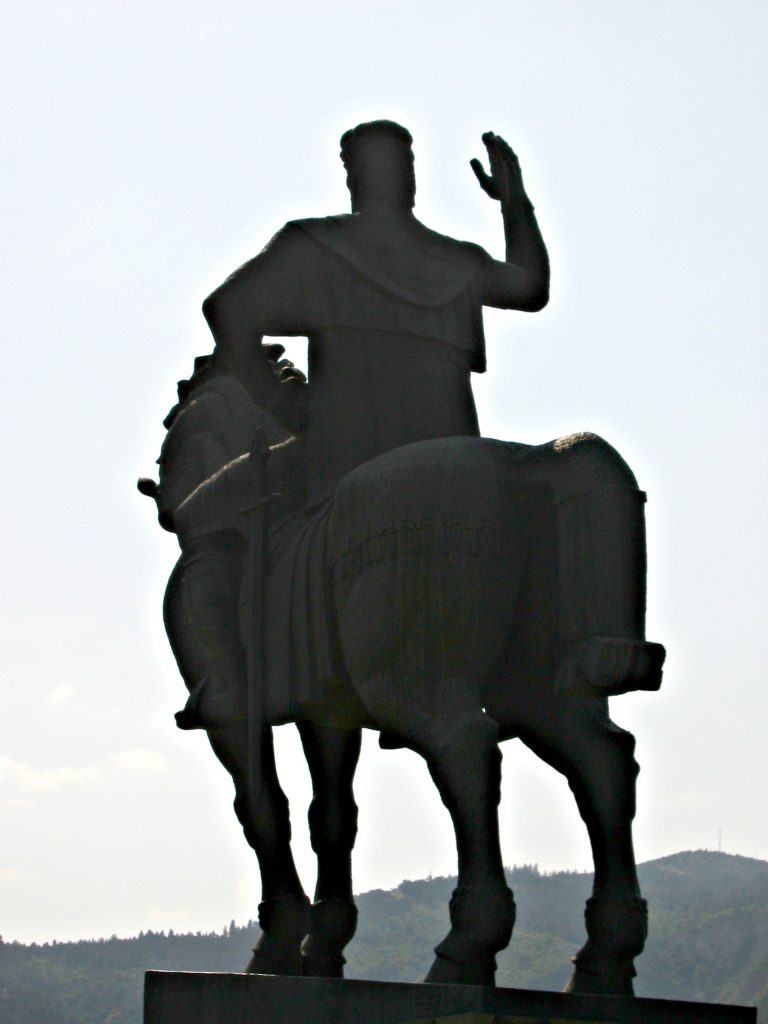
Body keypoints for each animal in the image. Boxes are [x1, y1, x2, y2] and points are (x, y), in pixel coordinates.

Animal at [141, 352, 663, 991]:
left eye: (170, 436)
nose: (165, 504)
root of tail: (519, 461)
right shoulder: (327, 710)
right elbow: (331, 815)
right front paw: (323, 949)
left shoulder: (228, 713)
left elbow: (264, 809)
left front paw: (279, 943)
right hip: (536, 686)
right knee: (602, 762)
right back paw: (604, 959)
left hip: (409, 681)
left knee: (467, 753)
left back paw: (467, 947)